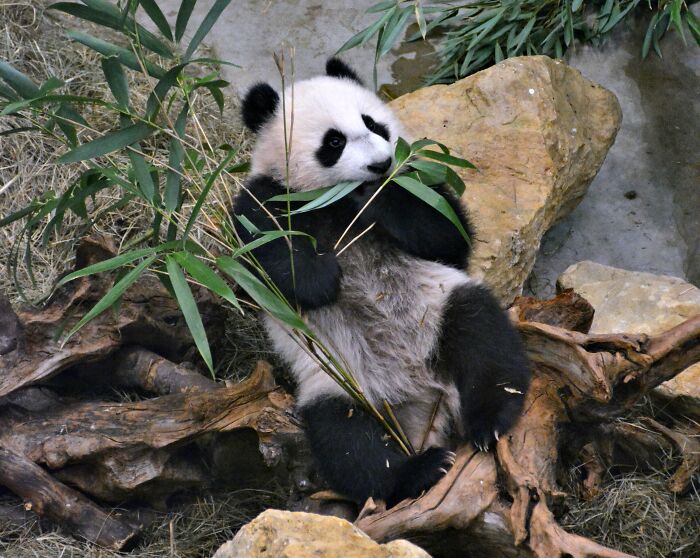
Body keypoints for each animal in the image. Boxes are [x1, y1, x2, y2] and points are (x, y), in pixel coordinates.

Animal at [233, 58, 531, 507]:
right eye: (333, 142)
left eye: (373, 124)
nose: (379, 164)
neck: (338, 202)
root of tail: (423, 400)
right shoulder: (263, 198)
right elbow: (264, 260)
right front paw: (322, 276)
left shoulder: (419, 181)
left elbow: (447, 234)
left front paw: (380, 197)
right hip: (339, 382)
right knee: (349, 441)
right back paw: (421, 470)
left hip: (439, 308)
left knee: (484, 340)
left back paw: (489, 420)